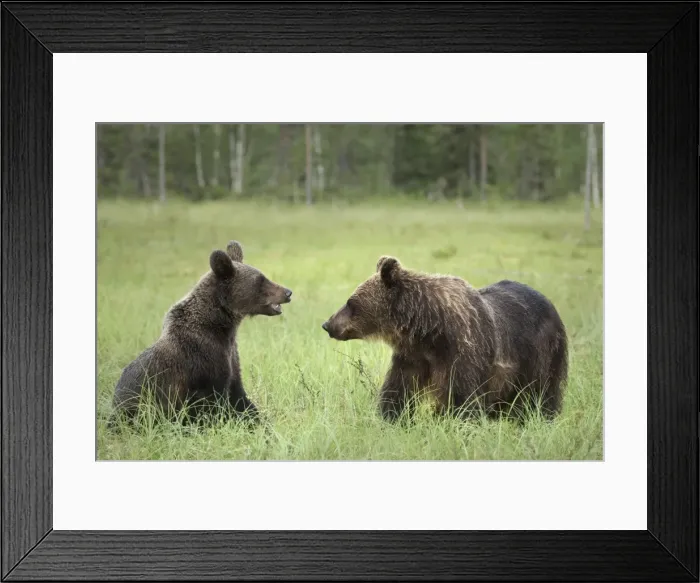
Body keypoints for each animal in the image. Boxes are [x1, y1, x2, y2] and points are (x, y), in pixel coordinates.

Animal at [110, 240, 292, 426]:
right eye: (260, 280)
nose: (288, 292)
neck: (220, 326)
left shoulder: (231, 356)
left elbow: (239, 396)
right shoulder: (203, 361)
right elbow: (210, 404)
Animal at [321, 256, 568, 423]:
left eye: (350, 302)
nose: (327, 324)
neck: (428, 329)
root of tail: (550, 303)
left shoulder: (463, 351)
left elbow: (462, 398)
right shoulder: (413, 356)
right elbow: (398, 390)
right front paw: (392, 418)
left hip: (540, 352)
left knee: (542, 392)